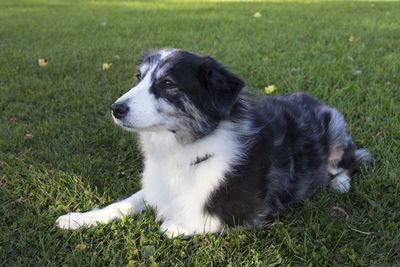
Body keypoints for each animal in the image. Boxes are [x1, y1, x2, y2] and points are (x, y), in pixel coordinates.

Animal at [56, 49, 372, 238]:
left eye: (168, 83)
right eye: (138, 77)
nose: (116, 108)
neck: (186, 148)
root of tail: (315, 100)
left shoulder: (251, 210)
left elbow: (183, 223)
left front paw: (173, 224)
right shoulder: (156, 185)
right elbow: (123, 203)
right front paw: (78, 219)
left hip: (335, 128)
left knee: (353, 160)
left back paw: (340, 183)